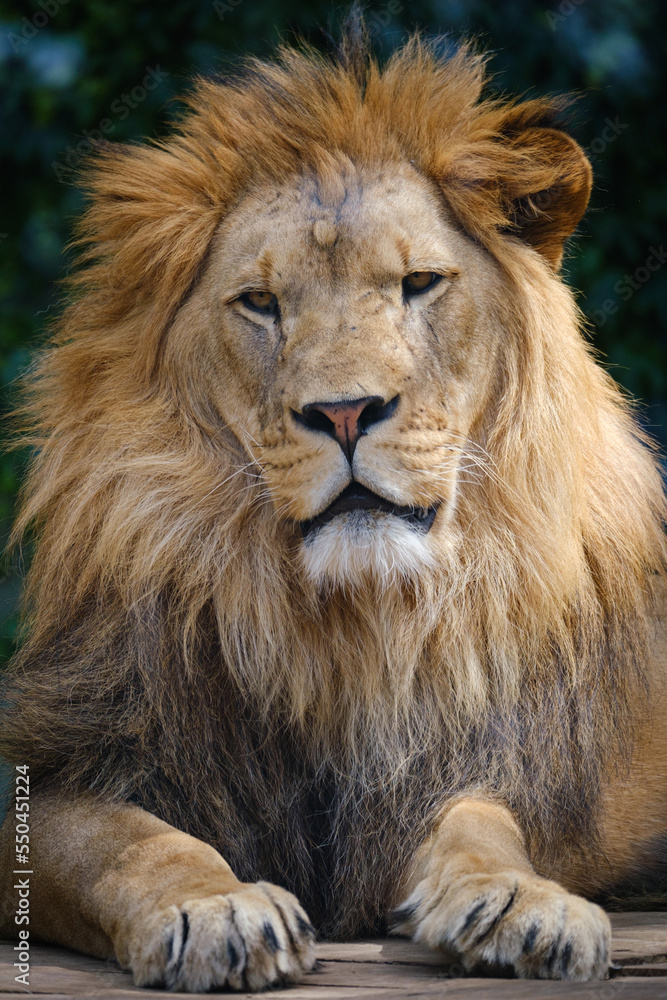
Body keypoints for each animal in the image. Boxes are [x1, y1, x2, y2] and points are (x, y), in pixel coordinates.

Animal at [1, 17, 667, 992]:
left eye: (420, 284)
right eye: (260, 303)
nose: (345, 412)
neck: (352, 627)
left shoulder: (503, 766)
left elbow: (483, 819)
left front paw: (519, 904)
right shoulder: (74, 762)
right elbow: (128, 843)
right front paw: (215, 909)